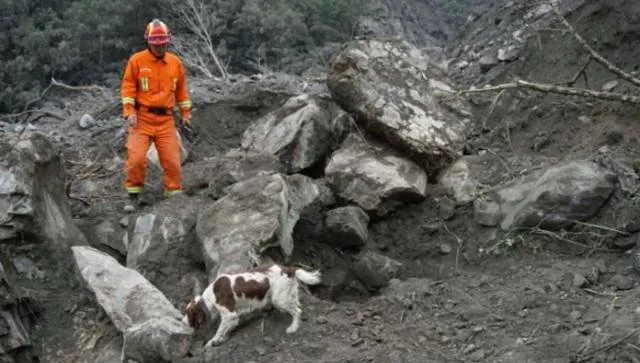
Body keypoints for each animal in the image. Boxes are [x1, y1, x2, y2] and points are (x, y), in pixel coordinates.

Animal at [181, 264, 320, 346]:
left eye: (189, 314)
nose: (182, 321)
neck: (210, 296)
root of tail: (287, 269)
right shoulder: (232, 316)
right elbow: (227, 328)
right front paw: (223, 338)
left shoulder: (230, 314)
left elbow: (220, 329)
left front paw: (213, 341)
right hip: (287, 295)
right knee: (297, 305)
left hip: (279, 300)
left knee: (298, 311)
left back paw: (293, 328)